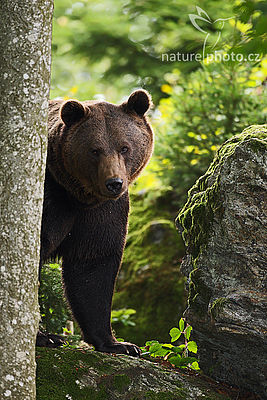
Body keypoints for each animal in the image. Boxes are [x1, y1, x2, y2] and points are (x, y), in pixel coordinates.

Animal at [38, 90, 155, 356]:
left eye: (124, 147)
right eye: (95, 150)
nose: (114, 183)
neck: (77, 195)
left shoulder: (102, 212)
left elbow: (92, 265)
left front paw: (118, 343)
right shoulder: (49, 197)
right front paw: (45, 336)